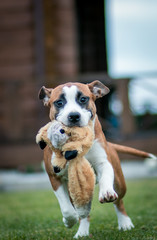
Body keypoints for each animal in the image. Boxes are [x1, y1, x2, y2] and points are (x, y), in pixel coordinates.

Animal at [38, 80, 156, 238]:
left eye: (83, 99)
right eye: (59, 102)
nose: (74, 115)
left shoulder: (103, 162)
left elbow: (106, 175)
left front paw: (106, 192)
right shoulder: (54, 176)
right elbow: (67, 208)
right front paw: (69, 221)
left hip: (119, 182)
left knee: (119, 201)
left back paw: (124, 222)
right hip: (74, 189)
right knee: (83, 212)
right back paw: (82, 231)